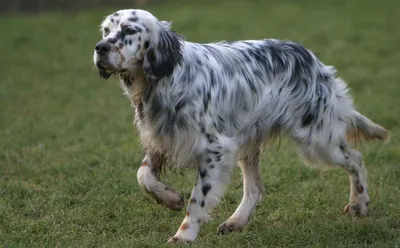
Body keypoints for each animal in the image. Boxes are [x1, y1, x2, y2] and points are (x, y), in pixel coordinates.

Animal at [93, 9, 388, 242]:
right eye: (106, 30)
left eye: (129, 30)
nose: (100, 48)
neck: (163, 79)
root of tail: (313, 60)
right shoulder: (161, 138)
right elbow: (144, 175)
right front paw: (170, 198)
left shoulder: (214, 149)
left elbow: (198, 199)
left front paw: (184, 235)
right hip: (250, 141)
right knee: (254, 188)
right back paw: (237, 221)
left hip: (316, 139)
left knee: (355, 158)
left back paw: (360, 203)